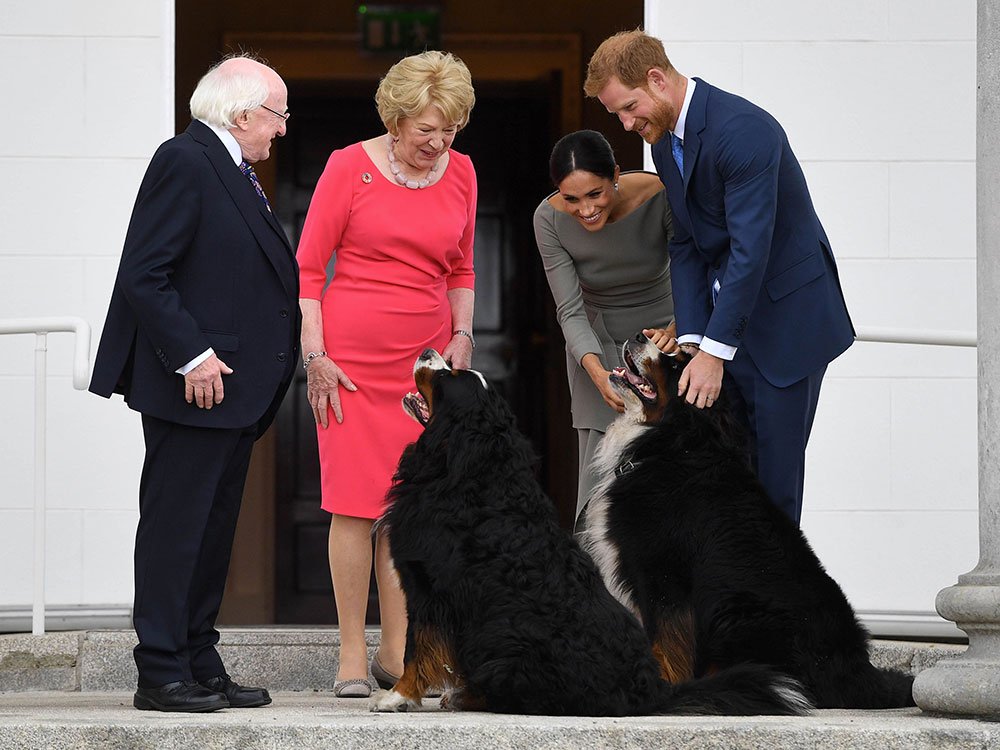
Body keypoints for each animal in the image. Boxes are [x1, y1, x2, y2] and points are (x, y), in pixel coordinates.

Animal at [372, 350, 808, 720]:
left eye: (449, 376)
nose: (430, 351)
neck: (465, 468)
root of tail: (653, 691)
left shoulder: (428, 586)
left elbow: (417, 646)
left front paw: (397, 696)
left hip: (504, 643)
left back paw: (466, 696)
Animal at [584, 334, 916, 712]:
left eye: (676, 365)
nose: (641, 336)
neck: (668, 444)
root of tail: (858, 670)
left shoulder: (663, 576)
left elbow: (665, 642)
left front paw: (664, 687)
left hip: (736, 613)